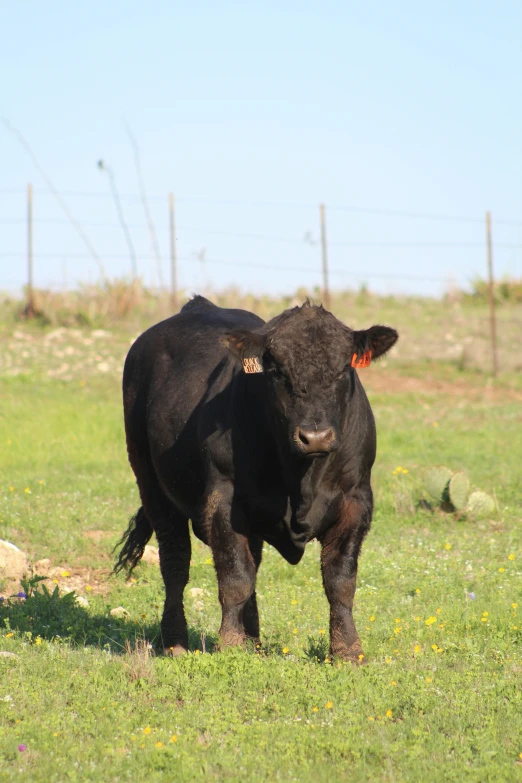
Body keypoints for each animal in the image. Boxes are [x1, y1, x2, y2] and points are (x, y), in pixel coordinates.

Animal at [116, 294, 396, 660]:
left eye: (343, 370)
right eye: (277, 371)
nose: (315, 437)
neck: (301, 480)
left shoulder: (356, 498)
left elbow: (340, 580)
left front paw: (347, 651)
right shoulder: (224, 500)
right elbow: (235, 577)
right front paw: (230, 645)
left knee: (254, 562)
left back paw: (255, 640)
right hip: (151, 484)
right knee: (175, 561)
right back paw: (175, 641)